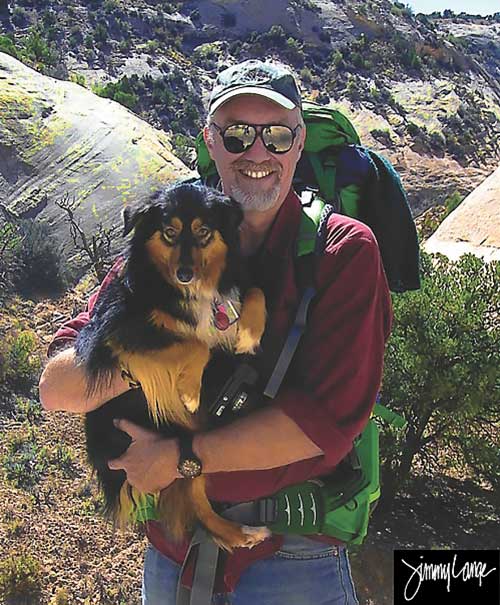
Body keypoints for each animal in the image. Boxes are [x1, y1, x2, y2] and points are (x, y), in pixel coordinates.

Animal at [74, 182, 270, 548]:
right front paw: (189, 390)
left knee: (198, 501)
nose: (184, 273)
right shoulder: (119, 332)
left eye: (204, 232)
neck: (187, 291)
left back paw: (243, 534)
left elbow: (255, 291)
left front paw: (249, 334)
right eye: (169, 232)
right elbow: (195, 343)